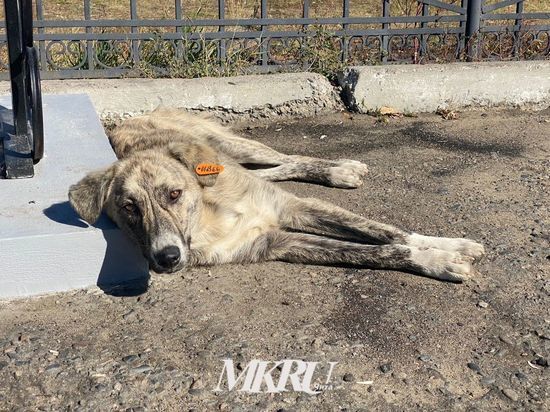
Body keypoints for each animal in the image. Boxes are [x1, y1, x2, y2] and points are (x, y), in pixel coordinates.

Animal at [69, 108, 488, 284]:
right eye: (128, 209)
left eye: (174, 194)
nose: (166, 259)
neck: (210, 215)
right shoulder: (277, 242)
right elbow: (378, 251)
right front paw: (436, 260)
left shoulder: (294, 207)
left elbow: (389, 233)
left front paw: (446, 247)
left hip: (228, 145)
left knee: (285, 159)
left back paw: (340, 170)